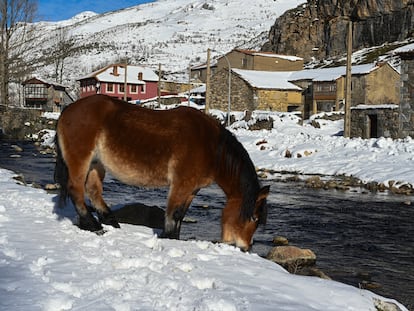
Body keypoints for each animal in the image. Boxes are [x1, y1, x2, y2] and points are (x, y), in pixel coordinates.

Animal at [54, 94, 268, 251]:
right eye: (254, 218)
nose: (246, 247)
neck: (210, 146)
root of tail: (67, 110)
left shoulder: (192, 189)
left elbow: (181, 214)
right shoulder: (181, 185)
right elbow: (173, 214)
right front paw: (168, 238)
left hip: (96, 165)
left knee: (93, 191)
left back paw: (111, 222)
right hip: (81, 161)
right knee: (76, 190)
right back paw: (93, 226)